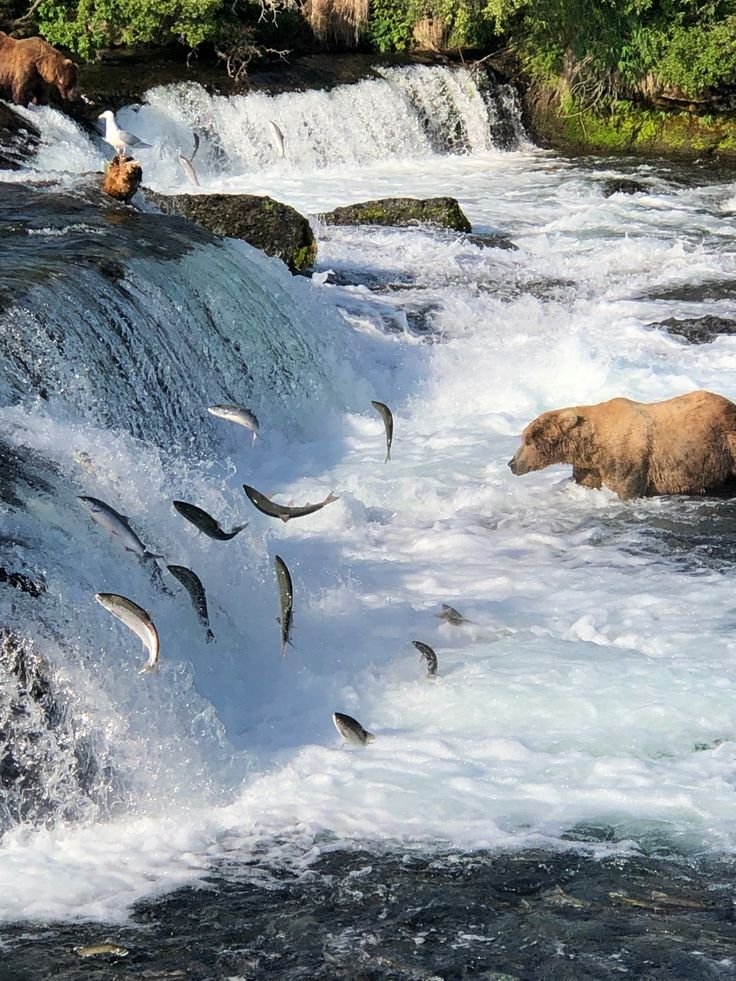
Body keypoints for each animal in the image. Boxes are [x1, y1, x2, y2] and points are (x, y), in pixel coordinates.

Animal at [508, 390, 736, 500]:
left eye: (528, 440)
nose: (511, 463)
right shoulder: (589, 466)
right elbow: (585, 482)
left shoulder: (627, 458)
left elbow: (624, 487)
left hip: (723, 439)